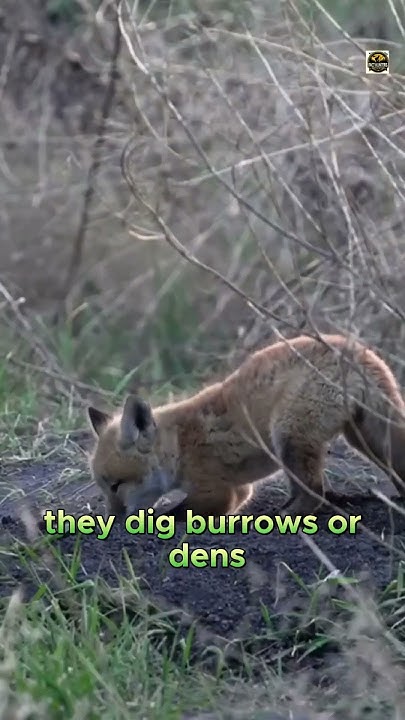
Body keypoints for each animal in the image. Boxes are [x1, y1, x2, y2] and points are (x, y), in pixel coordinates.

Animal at [87, 333, 405, 520]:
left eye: (116, 485)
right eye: (103, 487)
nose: (112, 520)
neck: (179, 446)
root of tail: (355, 350)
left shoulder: (216, 490)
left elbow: (175, 514)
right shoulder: (241, 491)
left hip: (288, 434)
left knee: (314, 491)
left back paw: (286, 515)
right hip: (363, 438)